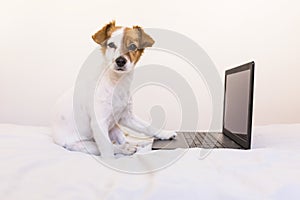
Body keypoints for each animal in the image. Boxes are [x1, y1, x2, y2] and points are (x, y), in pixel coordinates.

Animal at [52, 21, 176, 158]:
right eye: (111, 44)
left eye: (132, 46)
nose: (120, 61)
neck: (117, 83)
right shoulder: (99, 124)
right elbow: (107, 149)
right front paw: (111, 161)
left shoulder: (126, 117)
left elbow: (148, 127)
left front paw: (165, 133)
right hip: (87, 146)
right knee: (113, 146)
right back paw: (126, 149)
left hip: (115, 128)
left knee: (125, 140)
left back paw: (135, 144)